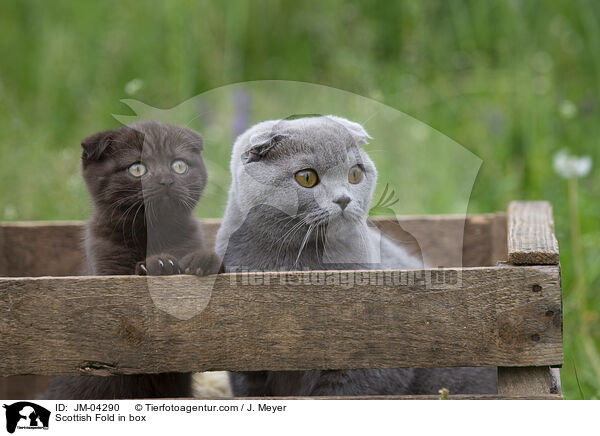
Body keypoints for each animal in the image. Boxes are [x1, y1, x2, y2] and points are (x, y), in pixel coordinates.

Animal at [45, 119, 221, 398]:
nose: (166, 181)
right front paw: (159, 264)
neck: (151, 234)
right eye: (137, 169)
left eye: (179, 165)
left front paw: (202, 261)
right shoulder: (106, 268)